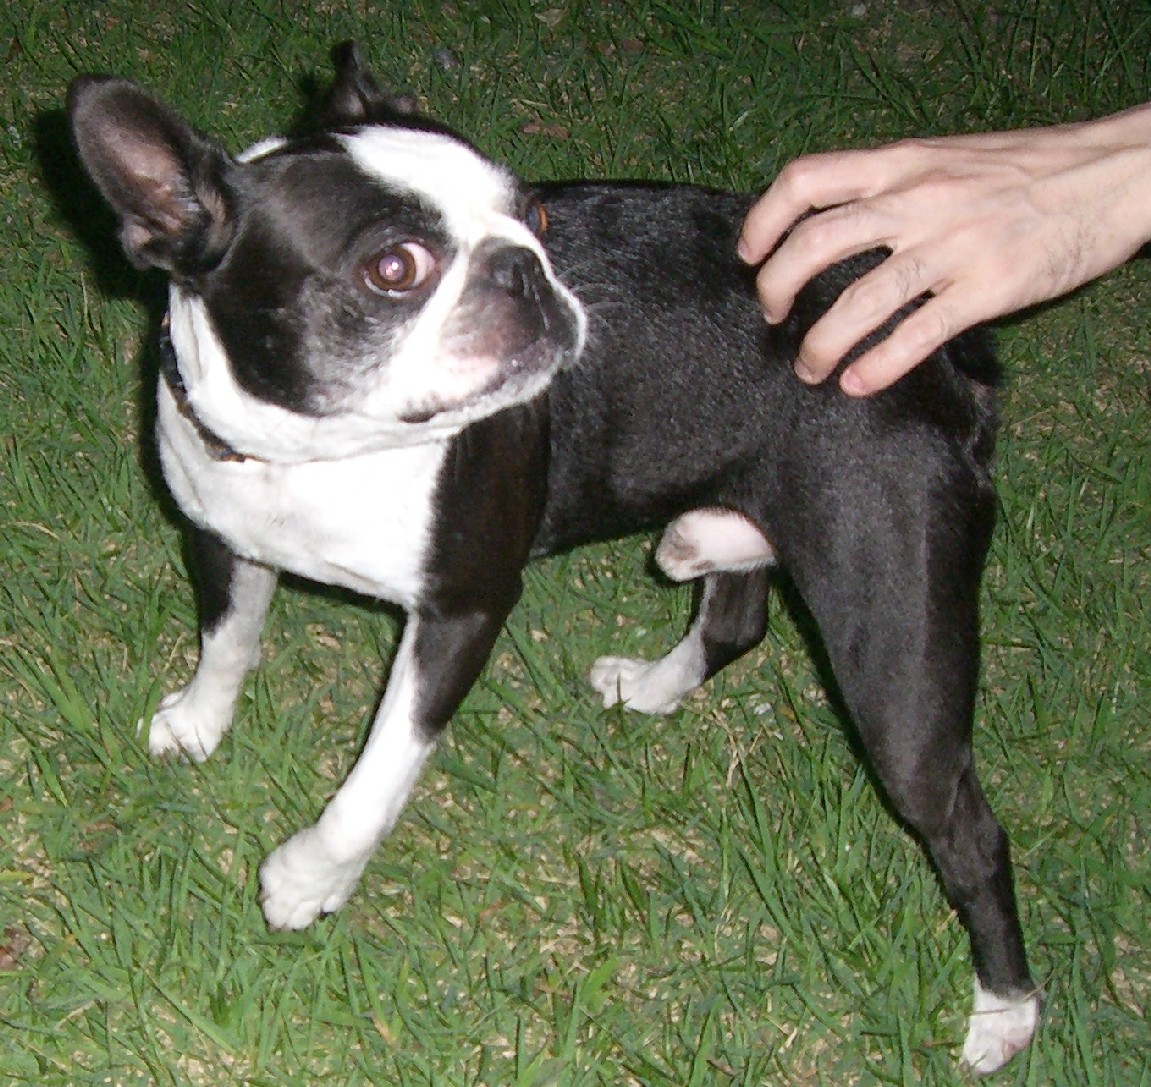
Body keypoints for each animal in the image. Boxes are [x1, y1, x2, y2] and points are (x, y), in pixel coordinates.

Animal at [67, 42, 1039, 1073]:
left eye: (533, 217)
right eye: (393, 267)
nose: (525, 268)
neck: (318, 450)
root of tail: (946, 356)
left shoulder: (461, 608)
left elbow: (379, 771)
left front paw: (310, 877)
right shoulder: (221, 532)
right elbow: (230, 635)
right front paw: (198, 722)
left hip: (888, 624)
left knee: (968, 829)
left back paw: (1004, 1012)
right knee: (736, 616)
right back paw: (650, 684)